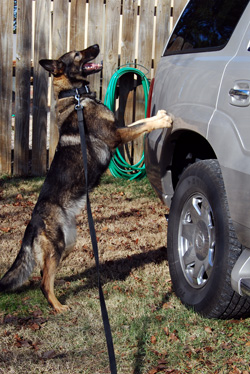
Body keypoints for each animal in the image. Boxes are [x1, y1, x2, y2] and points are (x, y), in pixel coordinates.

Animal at [0, 43, 172, 312]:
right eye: (78, 54)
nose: (97, 46)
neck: (76, 96)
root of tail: (32, 224)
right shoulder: (118, 135)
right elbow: (142, 125)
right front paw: (163, 119)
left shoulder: (118, 130)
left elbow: (142, 120)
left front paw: (161, 115)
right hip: (58, 246)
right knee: (44, 283)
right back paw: (58, 307)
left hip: (68, 244)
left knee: (43, 273)